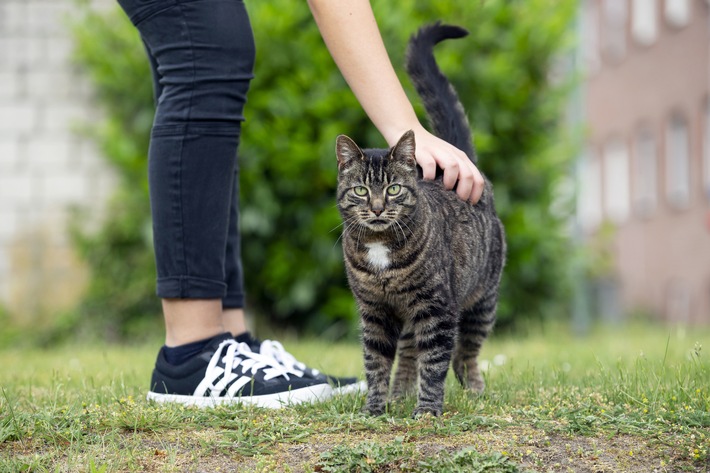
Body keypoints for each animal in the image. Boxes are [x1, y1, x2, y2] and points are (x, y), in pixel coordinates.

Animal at [336, 23, 506, 416]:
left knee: (464, 355)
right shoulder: (374, 313)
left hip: (482, 300)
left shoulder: (436, 309)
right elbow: (376, 363)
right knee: (410, 353)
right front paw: (374, 409)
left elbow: (435, 362)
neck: (380, 251)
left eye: (394, 189)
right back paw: (400, 394)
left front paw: (427, 411)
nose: (378, 208)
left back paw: (474, 392)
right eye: (361, 190)